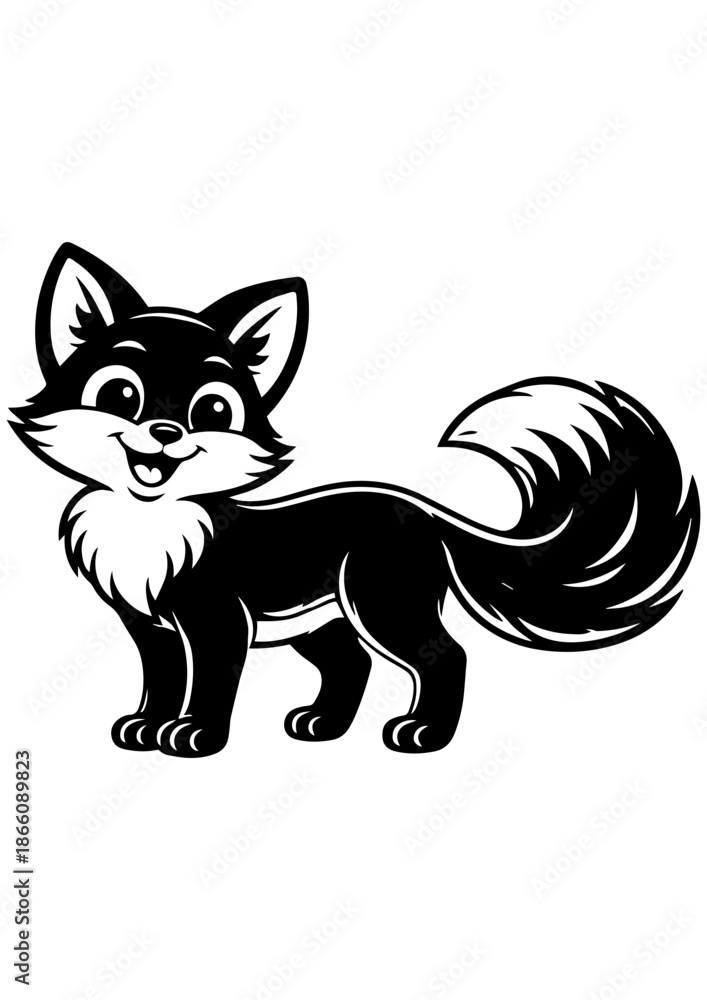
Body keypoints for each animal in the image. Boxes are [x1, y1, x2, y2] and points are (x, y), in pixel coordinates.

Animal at [12, 243, 699, 756]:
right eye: (119, 395)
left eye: (214, 411)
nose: (164, 432)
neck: (146, 524)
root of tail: (425, 510)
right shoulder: (149, 625)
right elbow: (162, 680)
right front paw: (145, 729)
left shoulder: (216, 618)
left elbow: (207, 682)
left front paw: (195, 736)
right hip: (324, 620)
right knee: (352, 666)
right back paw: (322, 725)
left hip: (381, 603)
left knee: (446, 657)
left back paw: (423, 734)